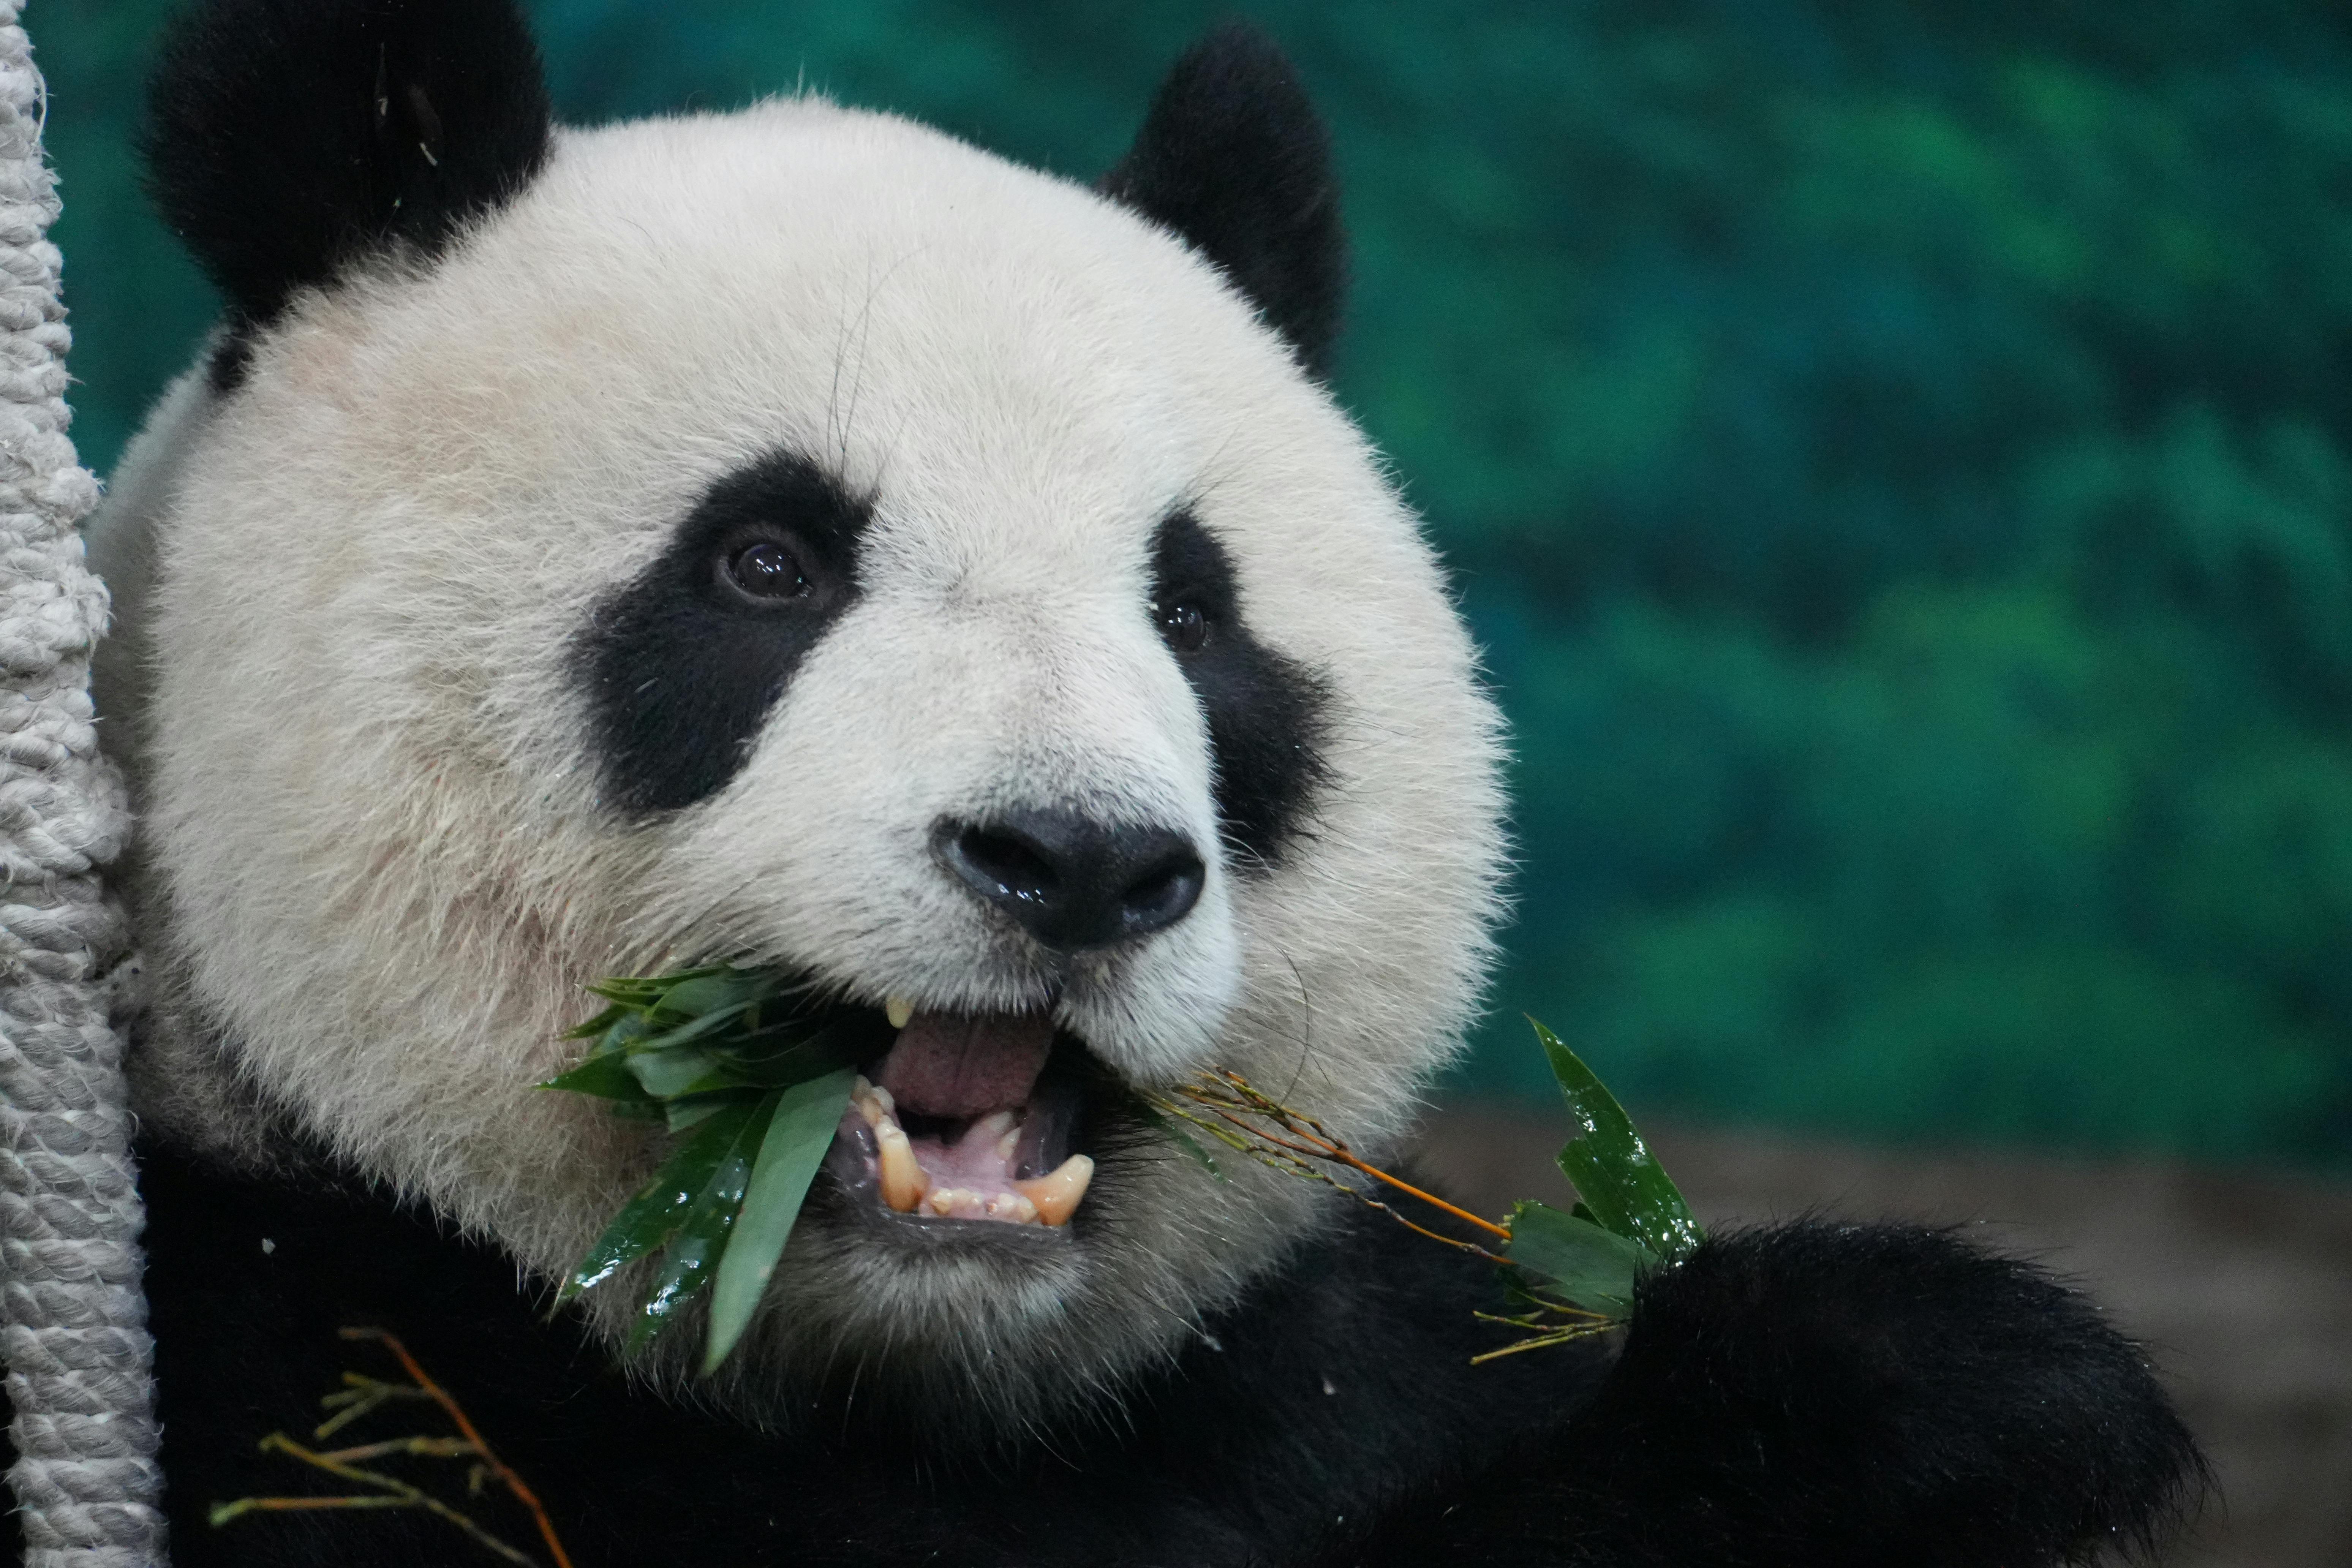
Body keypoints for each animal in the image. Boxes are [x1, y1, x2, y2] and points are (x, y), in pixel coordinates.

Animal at [73, 1, 2201, 1564]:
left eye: (1189, 610)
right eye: (762, 563)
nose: (1077, 863)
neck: (913, 1363)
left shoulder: (1309, 1352)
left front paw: (1973, 1388)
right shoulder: (309, 1362)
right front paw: (1867, 1382)